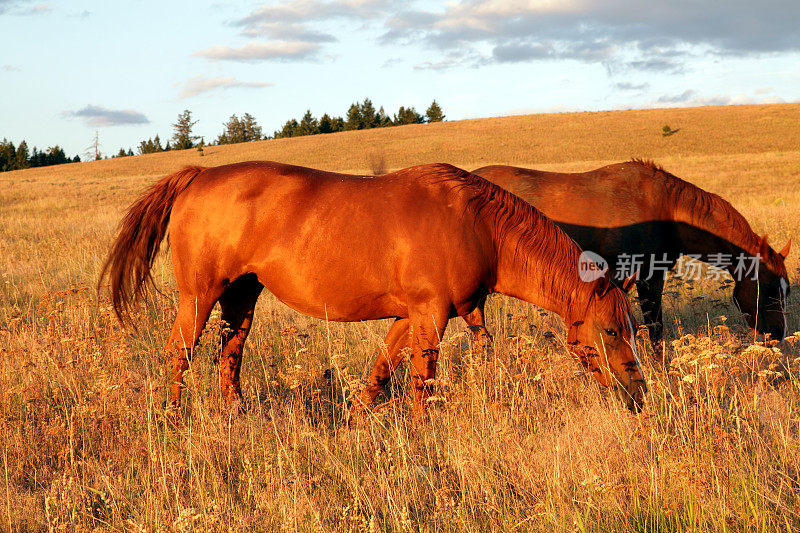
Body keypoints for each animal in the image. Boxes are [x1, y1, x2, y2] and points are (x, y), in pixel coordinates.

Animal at [103, 160, 648, 418]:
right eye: (610, 331)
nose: (640, 395)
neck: (477, 224)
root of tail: (197, 176)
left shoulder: (411, 317)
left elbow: (381, 373)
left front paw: (357, 422)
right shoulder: (430, 317)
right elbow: (421, 383)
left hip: (241, 295)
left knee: (229, 352)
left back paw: (236, 413)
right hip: (200, 296)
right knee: (180, 350)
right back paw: (173, 418)